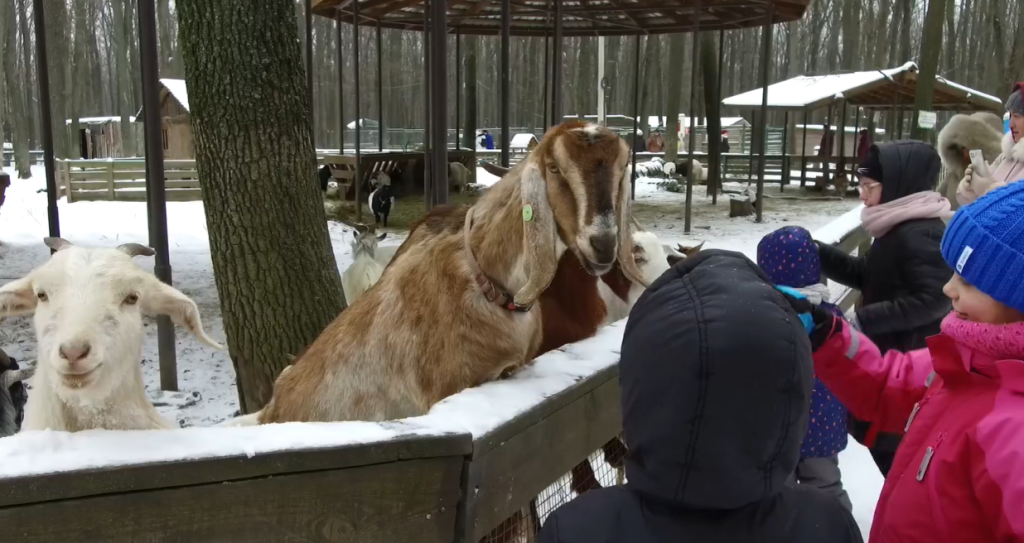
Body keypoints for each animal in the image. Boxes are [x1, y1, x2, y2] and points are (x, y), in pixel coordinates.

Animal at [251, 121, 643, 422]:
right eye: (555, 168)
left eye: (622, 167)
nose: (603, 243)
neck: (488, 285)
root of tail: (274, 405)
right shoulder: (447, 388)